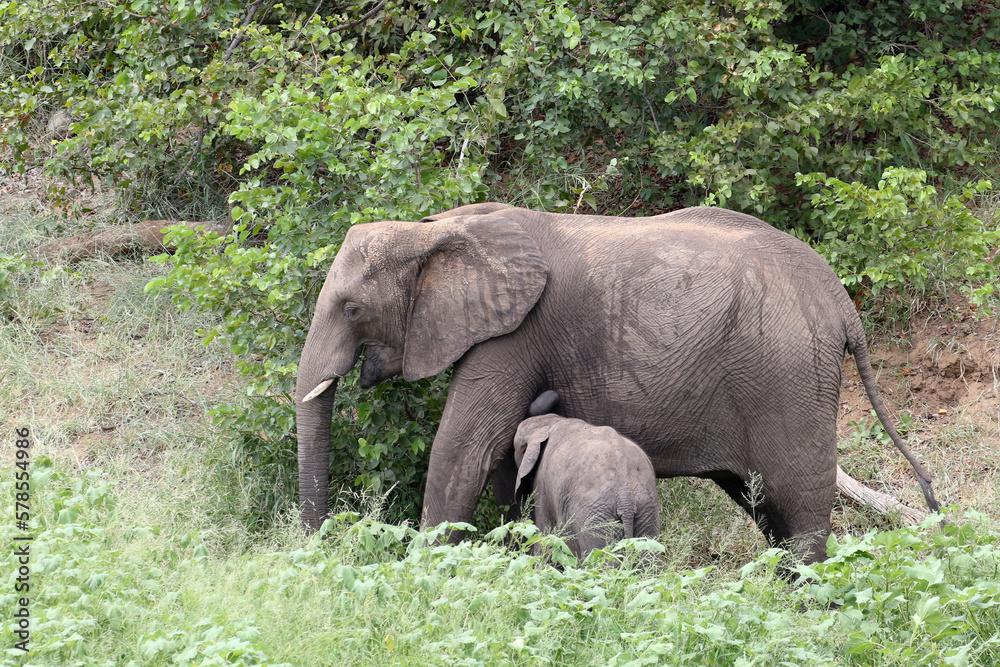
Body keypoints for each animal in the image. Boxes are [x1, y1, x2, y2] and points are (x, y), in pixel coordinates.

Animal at [516, 410, 664, 560]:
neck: (549, 422)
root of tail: (625, 497)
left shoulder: (542, 487)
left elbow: (544, 538)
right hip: (645, 507)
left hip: (595, 515)